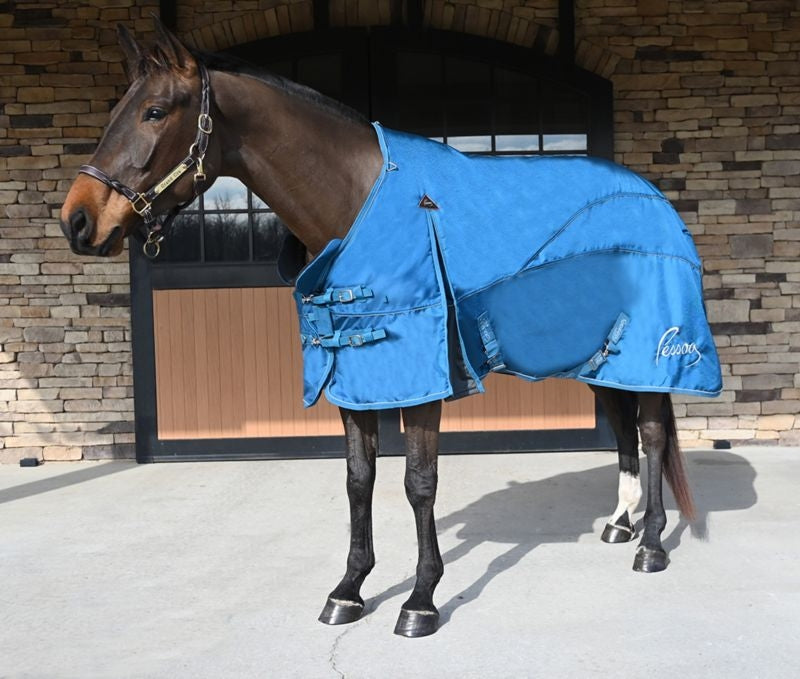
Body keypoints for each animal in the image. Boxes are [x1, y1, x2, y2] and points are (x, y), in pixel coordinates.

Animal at [61, 21, 704, 638]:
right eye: (116, 110)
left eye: (154, 111)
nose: (77, 220)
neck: (356, 202)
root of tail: (652, 196)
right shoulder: (356, 377)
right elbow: (358, 481)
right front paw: (348, 590)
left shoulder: (421, 380)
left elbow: (419, 483)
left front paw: (420, 600)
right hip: (601, 353)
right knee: (621, 425)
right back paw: (619, 525)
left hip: (652, 349)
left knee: (650, 433)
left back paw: (650, 545)